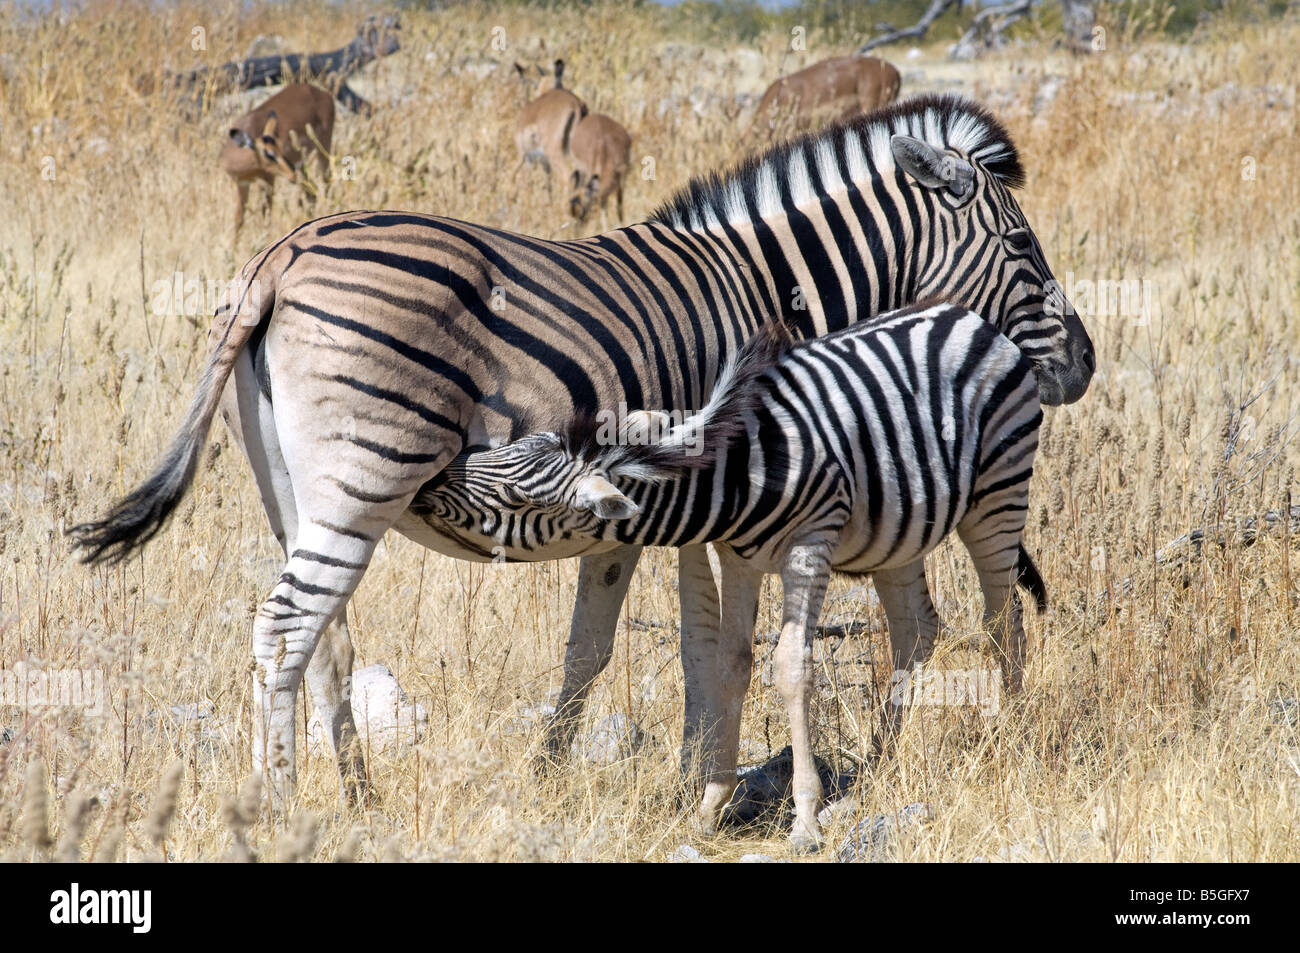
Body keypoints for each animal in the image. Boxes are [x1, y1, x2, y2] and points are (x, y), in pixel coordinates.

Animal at [218, 83, 332, 236]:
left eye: (280, 149)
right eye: (269, 154)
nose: (292, 173)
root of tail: (319, 91)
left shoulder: (268, 180)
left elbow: (265, 215)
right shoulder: (242, 183)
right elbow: (239, 219)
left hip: (323, 150)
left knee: (326, 183)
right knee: (311, 192)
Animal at [405, 299, 1045, 847]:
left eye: (515, 498)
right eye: (499, 452)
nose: (426, 484)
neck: (741, 470)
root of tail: (963, 314)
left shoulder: (809, 545)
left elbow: (791, 667)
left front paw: (804, 819)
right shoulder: (738, 557)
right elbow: (731, 666)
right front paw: (711, 806)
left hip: (999, 492)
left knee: (1003, 620)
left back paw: (1010, 740)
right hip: (899, 525)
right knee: (916, 630)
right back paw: (877, 767)